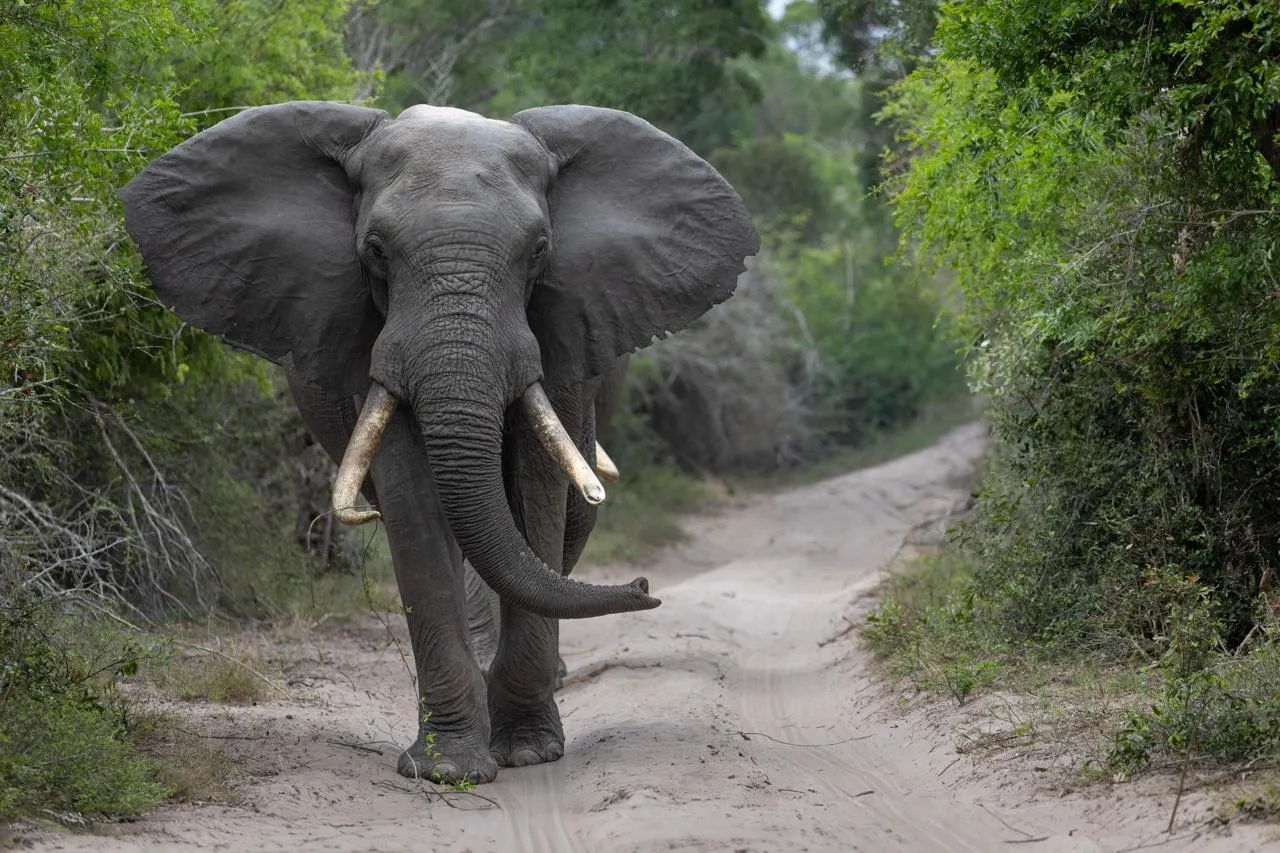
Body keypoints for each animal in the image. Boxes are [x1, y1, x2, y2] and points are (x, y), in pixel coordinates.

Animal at [120, 101, 758, 785]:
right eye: (375, 250)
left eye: (539, 251)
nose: (643, 588)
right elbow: (417, 503)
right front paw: (448, 768)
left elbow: (535, 495)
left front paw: (527, 752)